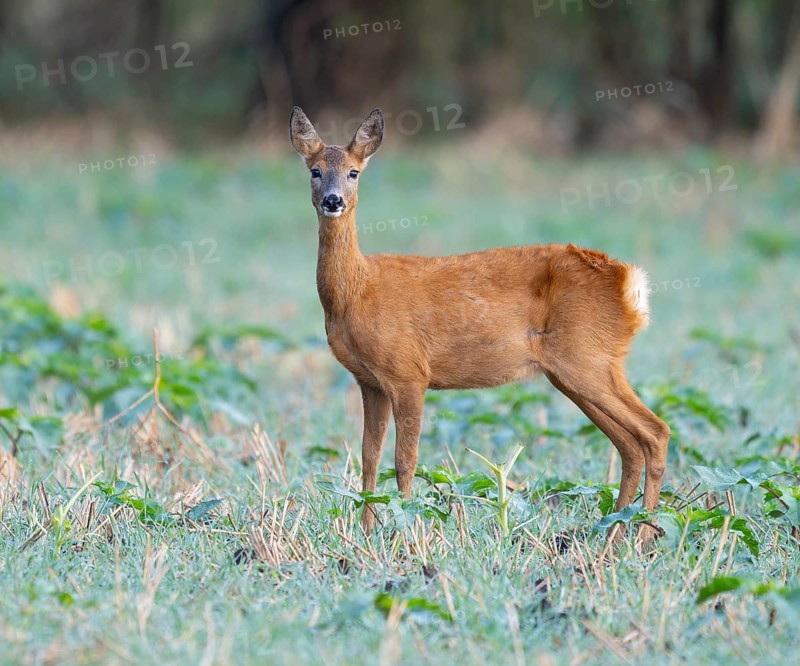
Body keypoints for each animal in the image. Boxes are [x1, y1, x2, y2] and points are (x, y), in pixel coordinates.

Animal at [289, 106, 670, 545]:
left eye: (354, 172)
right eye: (315, 170)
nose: (333, 200)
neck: (358, 292)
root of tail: (629, 284)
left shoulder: (409, 373)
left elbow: (405, 459)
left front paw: (405, 530)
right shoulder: (369, 381)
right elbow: (369, 457)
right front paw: (366, 533)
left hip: (586, 358)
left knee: (655, 431)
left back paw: (643, 536)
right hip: (578, 369)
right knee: (630, 443)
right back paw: (612, 533)